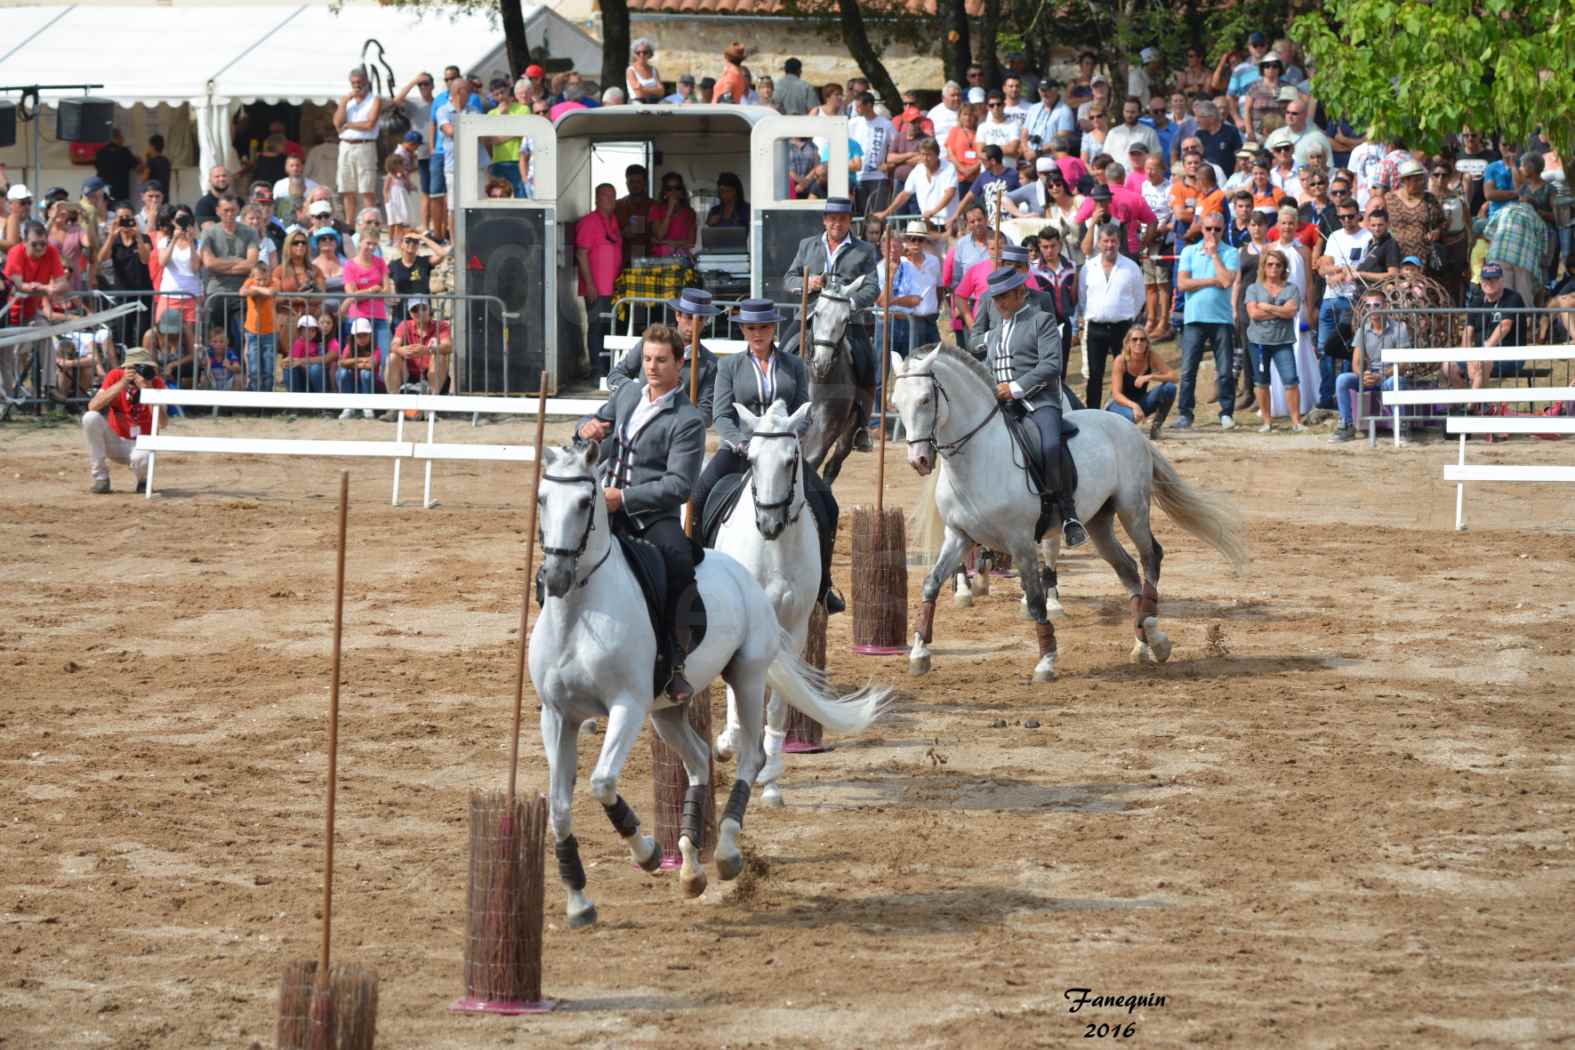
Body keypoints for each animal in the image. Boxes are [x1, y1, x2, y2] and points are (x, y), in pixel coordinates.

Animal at [708, 398, 819, 812]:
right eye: (752, 459)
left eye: (791, 460)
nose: (769, 524)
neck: (776, 549)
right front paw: (730, 741)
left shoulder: (797, 629)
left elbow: (777, 703)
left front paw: (770, 777)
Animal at [894, 346, 1247, 683]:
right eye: (896, 402)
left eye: (925, 399)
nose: (919, 460)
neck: (977, 457)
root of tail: (1127, 426)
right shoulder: (958, 536)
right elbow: (930, 584)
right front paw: (919, 654)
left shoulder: (1021, 542)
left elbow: (1036, 600)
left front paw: (1046, 661)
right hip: (1099, 523)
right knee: (1128, 569)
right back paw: (1141, 645)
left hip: (1132, 508)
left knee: (1151, 557)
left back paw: (1154, 633)